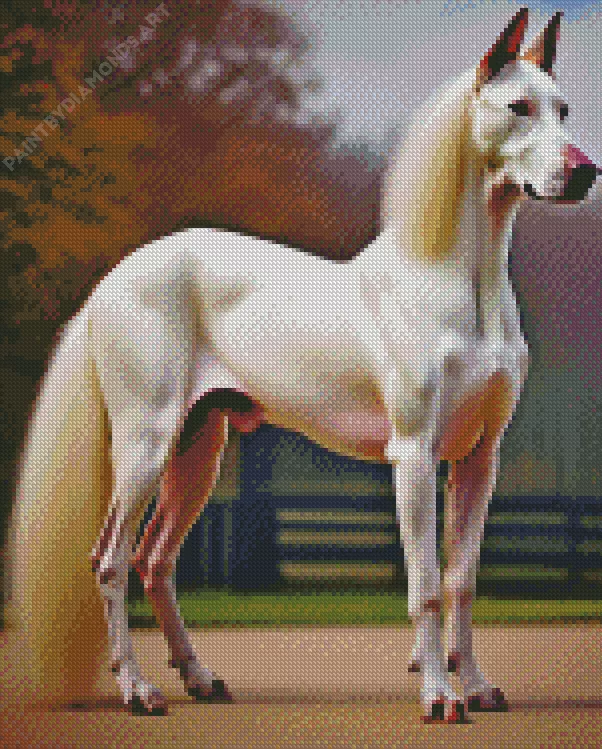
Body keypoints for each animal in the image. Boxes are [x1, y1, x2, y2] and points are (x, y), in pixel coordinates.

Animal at [5, 7, 600, 724]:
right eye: (518, 107)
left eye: (563, 108)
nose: (585, 173)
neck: (452, 285)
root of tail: (114, 279)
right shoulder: (414, 456)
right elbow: (426, 585)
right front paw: (439, 697)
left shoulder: (479, 459)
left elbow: (462, 580)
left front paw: (479, 689)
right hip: (145, 446)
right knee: (111, 562)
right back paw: (139, 692)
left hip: (197, 451)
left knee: (156, 562)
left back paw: (202, 680)